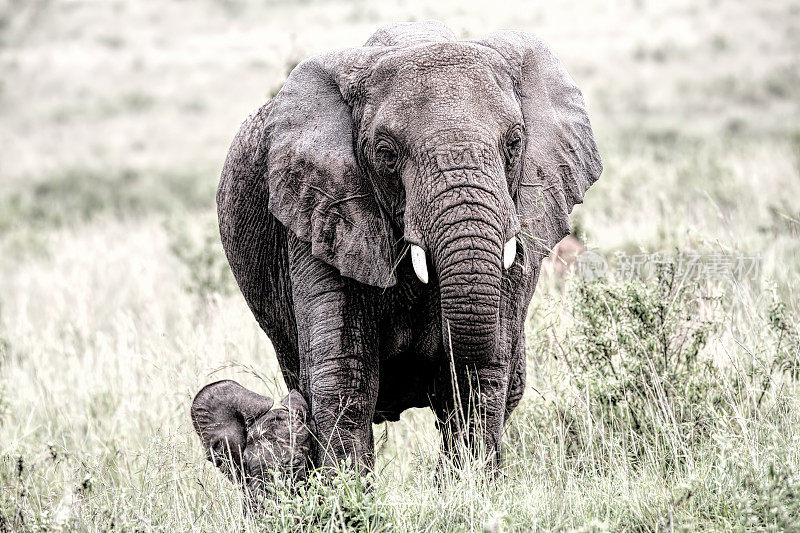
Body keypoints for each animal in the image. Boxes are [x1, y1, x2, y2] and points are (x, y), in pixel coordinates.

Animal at [194, 19, 600, 486]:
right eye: (386, 153)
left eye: (515, 142)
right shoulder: (321, 212)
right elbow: (345, 377)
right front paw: (349, 494)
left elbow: (481, 375)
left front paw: (468, 488)